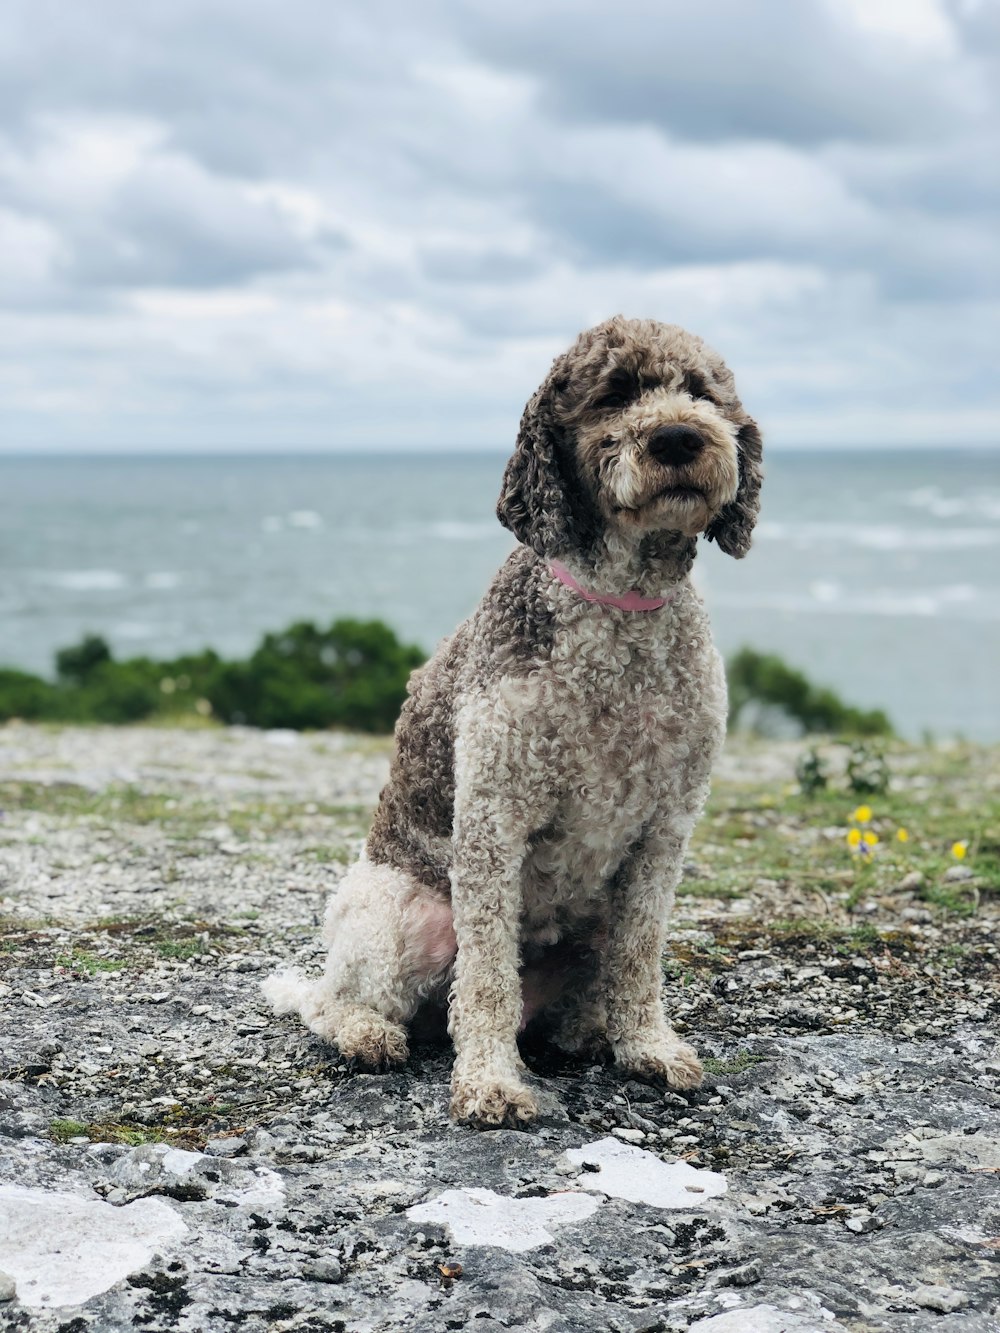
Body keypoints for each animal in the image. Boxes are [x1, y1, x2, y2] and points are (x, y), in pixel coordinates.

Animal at [262, 314, 762, 1125]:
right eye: (614, 394)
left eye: (701, 392)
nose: (679, 438)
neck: (621, 606)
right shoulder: (495, 814)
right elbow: (490, 972)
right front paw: (492, 1081)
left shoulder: (666, 826)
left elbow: (640, 953)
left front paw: (647, 1045)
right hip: (399, 911)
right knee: (339, 1001)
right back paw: (368, 1033)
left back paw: (585, 1032)